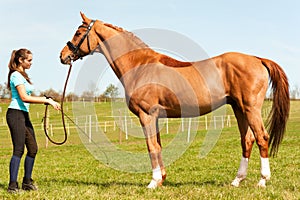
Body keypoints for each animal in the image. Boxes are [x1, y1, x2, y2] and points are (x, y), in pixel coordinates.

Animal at [59, 12, 290, 189]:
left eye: (78, 33)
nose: (63, 55)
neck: (140, 66)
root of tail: (257, 59)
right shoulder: (155, 117)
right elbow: (158, 145)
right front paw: (161, 180)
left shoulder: (146, 115)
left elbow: (151, 146)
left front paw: (153, 183)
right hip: (239, 108)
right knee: (247, 140)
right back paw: (236, 181)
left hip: (251, 108)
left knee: (261, 138)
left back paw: (262, 181)